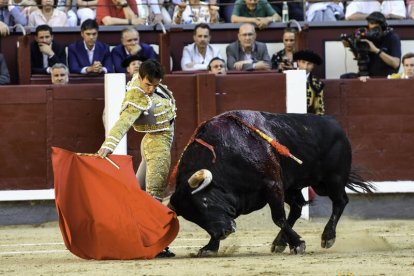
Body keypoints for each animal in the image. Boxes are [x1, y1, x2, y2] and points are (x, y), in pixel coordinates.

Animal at [168, 109, 376, 256]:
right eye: (194, 218)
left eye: (204, 202)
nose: (224, 232)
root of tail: (335, 123)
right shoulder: (275, 187)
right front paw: (210, 247)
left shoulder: (272, 185)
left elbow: (278, 218)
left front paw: (298, 244)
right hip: (292, 187)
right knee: (297, 208)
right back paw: (279, 243)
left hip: (329, 180)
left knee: (340, 201)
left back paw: (327, 237)